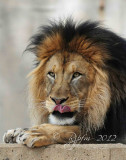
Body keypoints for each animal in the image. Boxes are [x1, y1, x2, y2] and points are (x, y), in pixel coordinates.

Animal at [3, 19, 126, 148]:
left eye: (76, 74)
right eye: (51, 74)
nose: (57, 100)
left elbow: (77, 130)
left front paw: (36, 132)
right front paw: (16, 132)